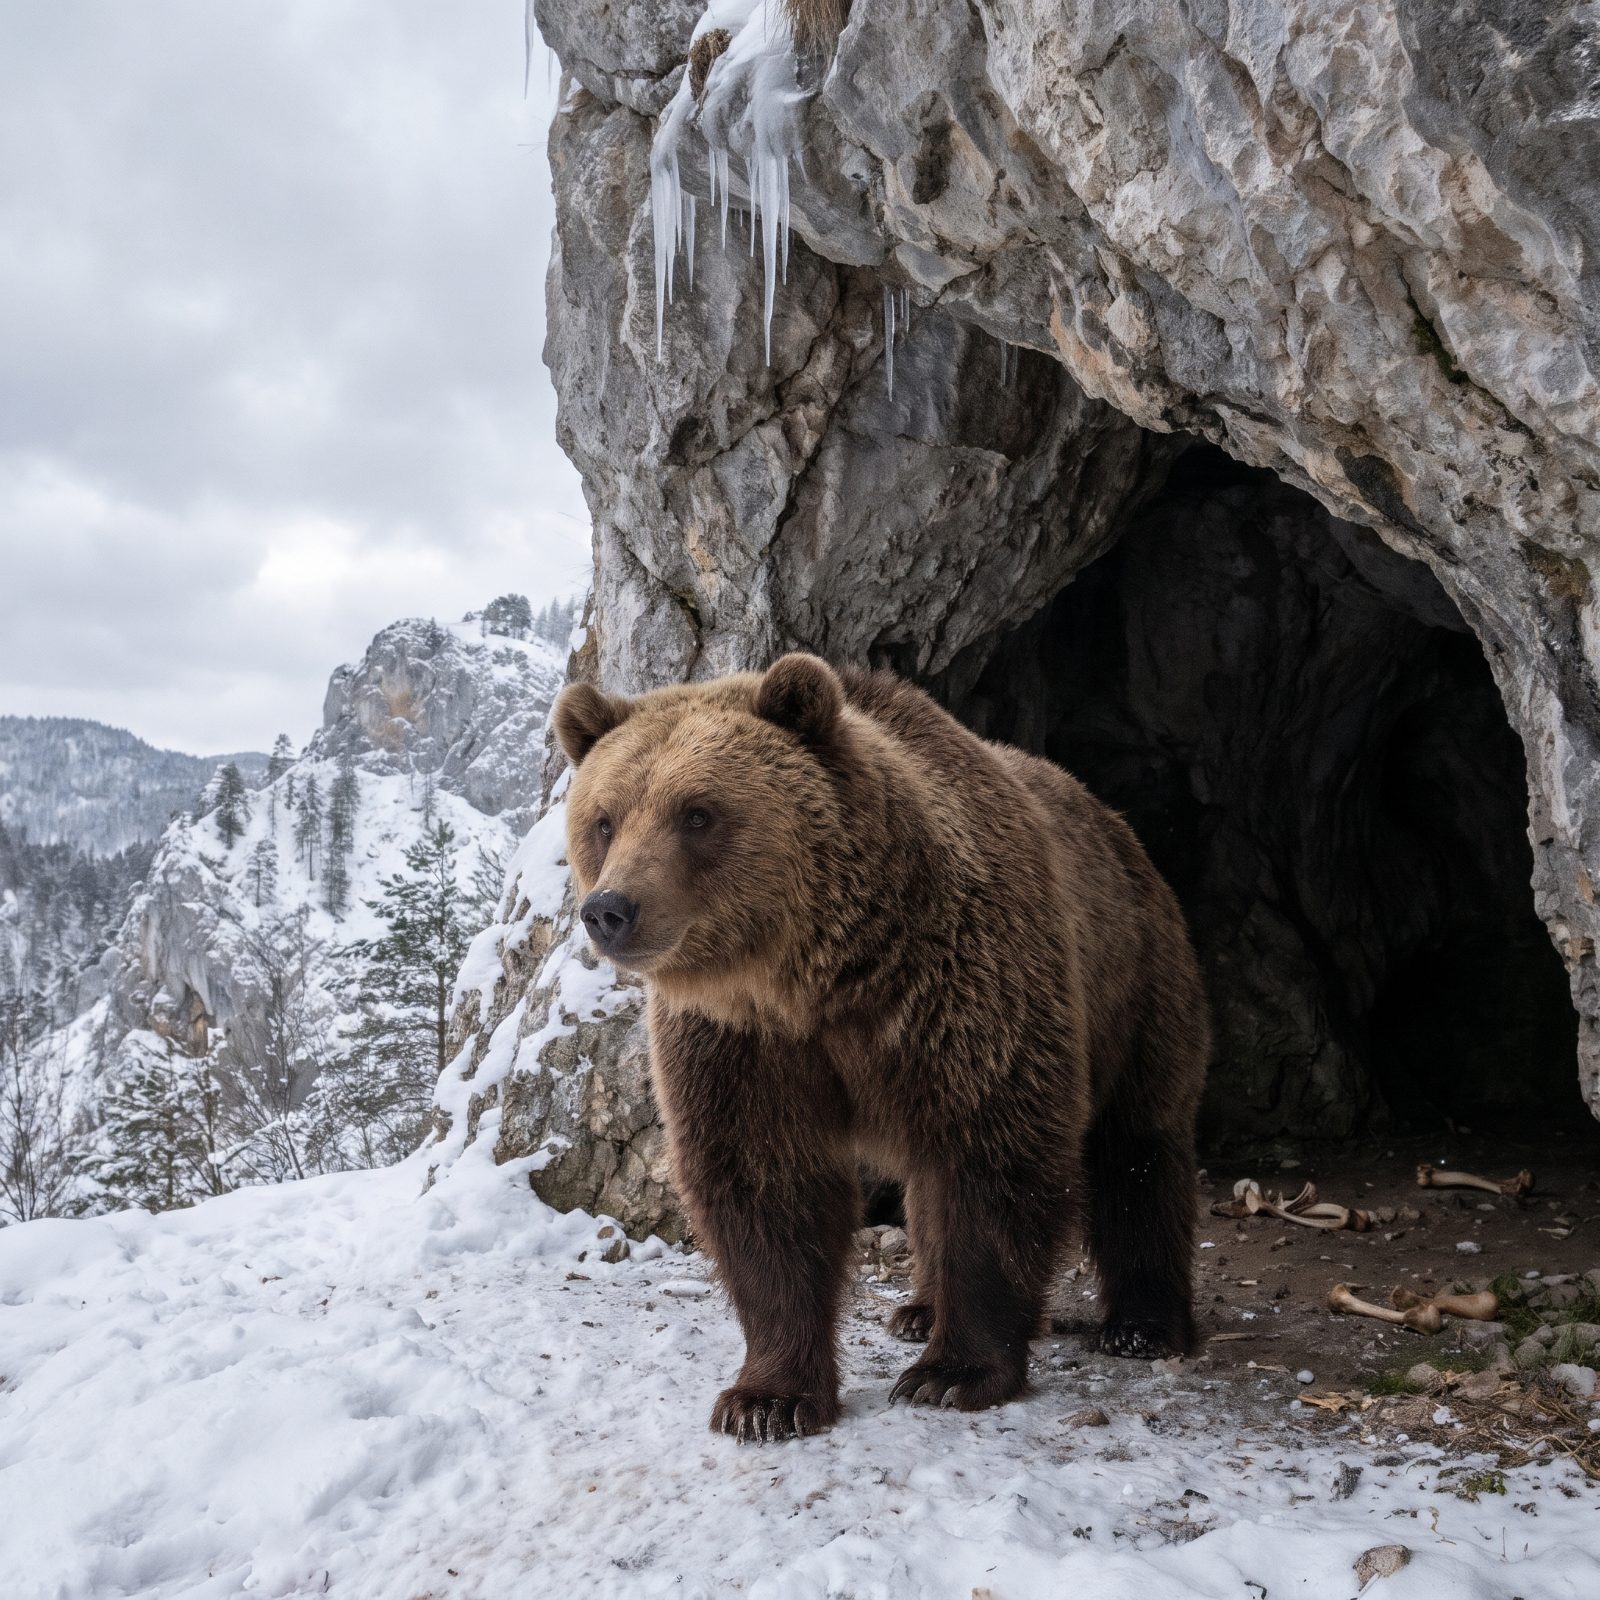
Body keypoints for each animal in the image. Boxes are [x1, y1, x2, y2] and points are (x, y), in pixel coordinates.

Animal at [553, 654, 1209, 1442]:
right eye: (604, 818)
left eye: (698, 813)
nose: (609, 909)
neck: (818, 979)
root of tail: (1117, 825)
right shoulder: (741, 1041)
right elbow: (765, 1184)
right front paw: (767, 1397)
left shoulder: (965, 986)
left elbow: (991, 1156)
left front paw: (953, 1372)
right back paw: (918, 1308)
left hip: (1136, 978)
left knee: (1137, 1146)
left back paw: (1142, 1324)